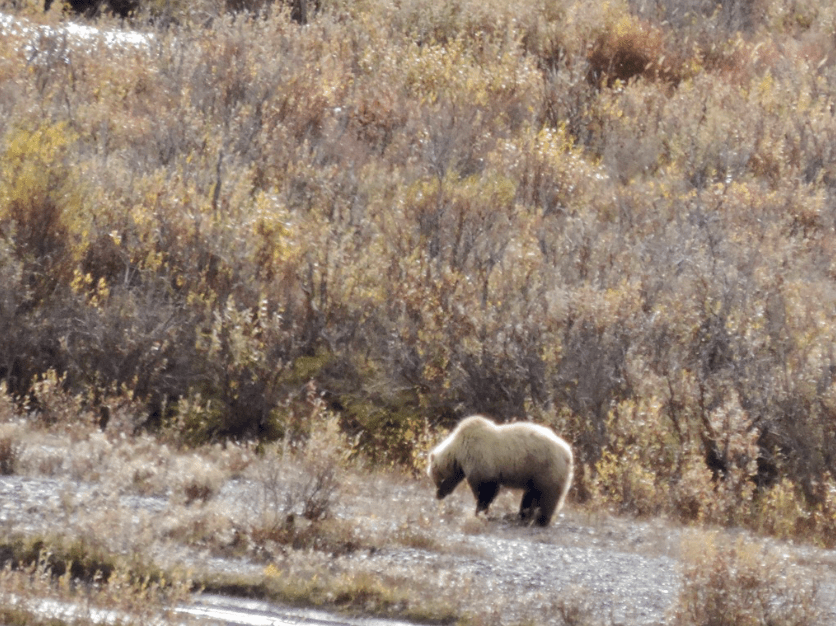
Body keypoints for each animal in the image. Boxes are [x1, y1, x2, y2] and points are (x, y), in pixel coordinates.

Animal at [427, 415, 573, 527]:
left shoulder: (480, 458)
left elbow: (485, 489)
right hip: (536, 474)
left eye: (436, 479)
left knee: (546, 496)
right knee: (531, 494)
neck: (458, 449)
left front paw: (480, 511)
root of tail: (568, 453)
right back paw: (523, 515)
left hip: (546, 468)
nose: (438, 494)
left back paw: (540, 520)